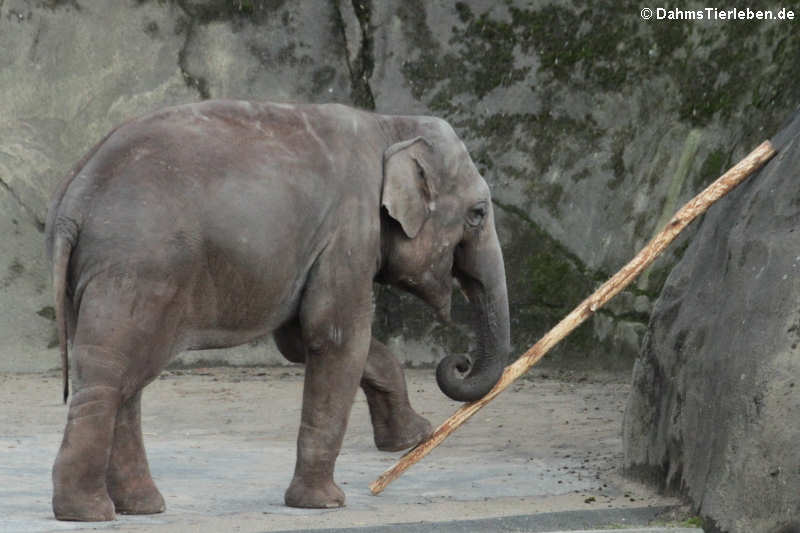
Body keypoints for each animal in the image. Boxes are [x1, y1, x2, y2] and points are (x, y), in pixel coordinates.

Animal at [43, 98, 510, 520]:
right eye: (477, 213)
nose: (459, 361)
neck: (390, 124)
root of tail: (73, 200)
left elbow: (301, 340)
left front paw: (412, 438)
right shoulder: (349, 231)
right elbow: (336, 337)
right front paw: (325, 503)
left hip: (99, 277)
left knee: (124, 379)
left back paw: (140, 507)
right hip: (137, 268)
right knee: (109, 375)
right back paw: (88, 513)